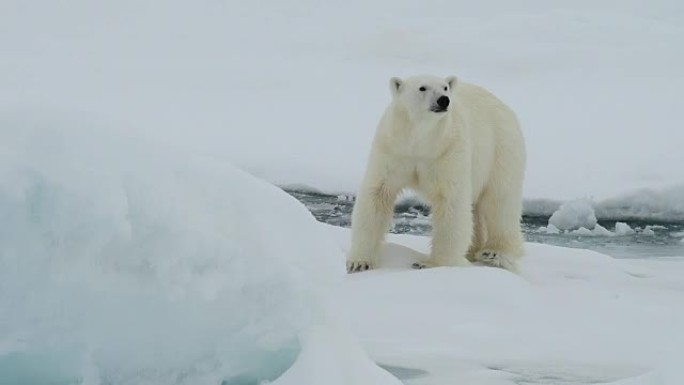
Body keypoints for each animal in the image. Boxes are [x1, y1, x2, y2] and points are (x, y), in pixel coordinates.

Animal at [344, 75, 528, 272]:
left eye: (445, 87)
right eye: (422, 88)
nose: (443, 100)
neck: (421, 141)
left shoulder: (448, 151)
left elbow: (451, 200)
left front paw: (433, 264)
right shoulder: (392, 149)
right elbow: (377, 194)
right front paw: (359, 262)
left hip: (500, 149)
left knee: (500, 201)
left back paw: (494, 252)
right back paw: (473, 250)